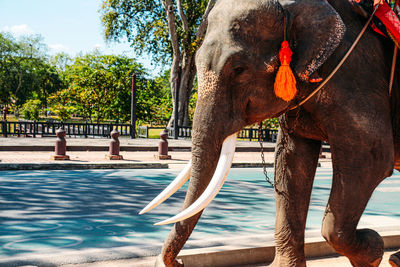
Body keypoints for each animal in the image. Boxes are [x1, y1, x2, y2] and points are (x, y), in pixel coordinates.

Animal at [141, 0, 400, 266]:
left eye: (239, 69)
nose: (178, 262)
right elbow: (290, 162)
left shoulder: (358, 79)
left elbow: (370, 160)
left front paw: (373, 250)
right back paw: (395, 259)